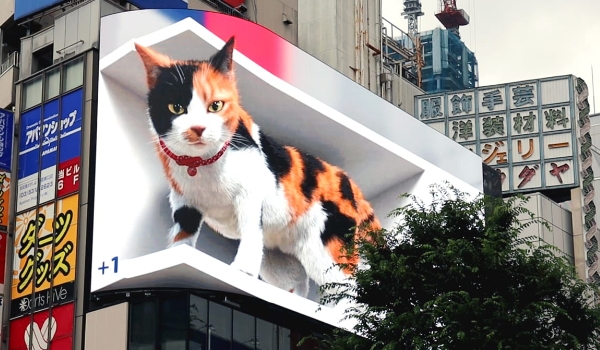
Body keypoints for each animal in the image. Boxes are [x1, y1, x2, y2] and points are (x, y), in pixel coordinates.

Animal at [135, 37, 380, 296]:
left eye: (216, 106)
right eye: (176, 107)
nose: (197, 128)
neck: (201, 166)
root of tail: (350, 183)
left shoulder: (250, 193)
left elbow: (250, 231)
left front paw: (242, 271)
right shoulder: (184, 203)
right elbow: (181, 236)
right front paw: (177, 256)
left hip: (326, 245)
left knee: (350, 290)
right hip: (281, 258)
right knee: (296, 286)